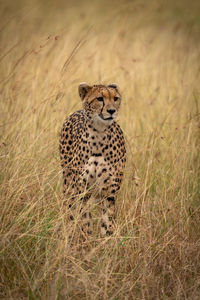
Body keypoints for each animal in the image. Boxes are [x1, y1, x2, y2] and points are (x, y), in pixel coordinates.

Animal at [58, 82, 126, 237]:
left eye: (115, 98)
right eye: (100, 98)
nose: (112, 111)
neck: (98, 137)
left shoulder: (109, 193)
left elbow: (108, 221)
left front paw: (106, 240)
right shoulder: (83, 192)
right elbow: (85, 222)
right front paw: (87, 240)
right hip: (68, 184)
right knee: (69, 209)